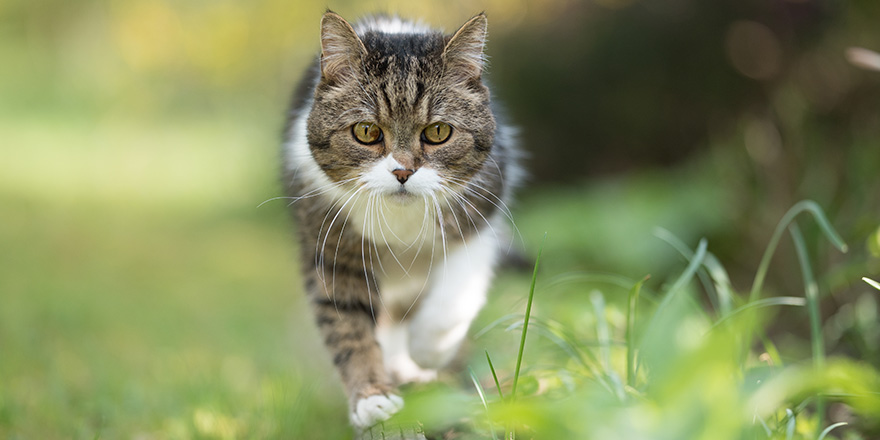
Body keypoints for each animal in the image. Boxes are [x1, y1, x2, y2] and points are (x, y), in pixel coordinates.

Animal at [280, 11, 524, 430]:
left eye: (438, 132)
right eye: (366, 132)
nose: (403, 172)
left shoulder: (481, 219)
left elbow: (454, 297)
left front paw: (428, 352)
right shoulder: (331, 248)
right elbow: (348, 326)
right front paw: (372, 398)